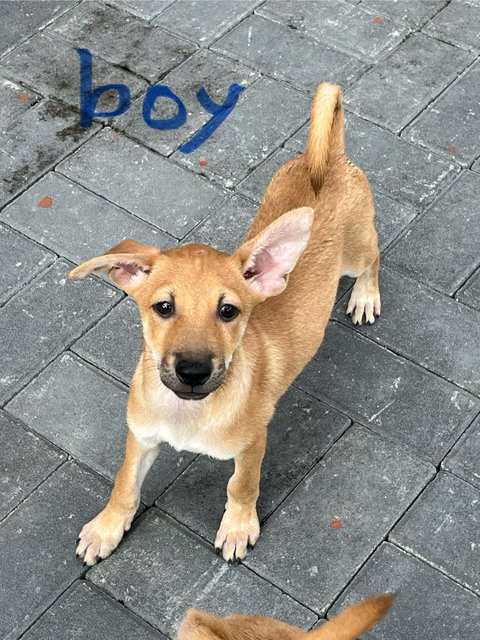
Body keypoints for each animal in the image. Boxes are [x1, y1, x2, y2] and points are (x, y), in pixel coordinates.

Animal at [71, 81, 380, 564]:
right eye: (163, 307)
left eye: (228, 311)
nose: (193, 372)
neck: (188, 412)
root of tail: (326, 159)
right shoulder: (140, 435)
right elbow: (123, 485)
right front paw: (106, 529)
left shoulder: (253, 442)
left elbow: (241, 485)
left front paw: (237, 527)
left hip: (355, 253)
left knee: (375, 254)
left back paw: (366, 296)